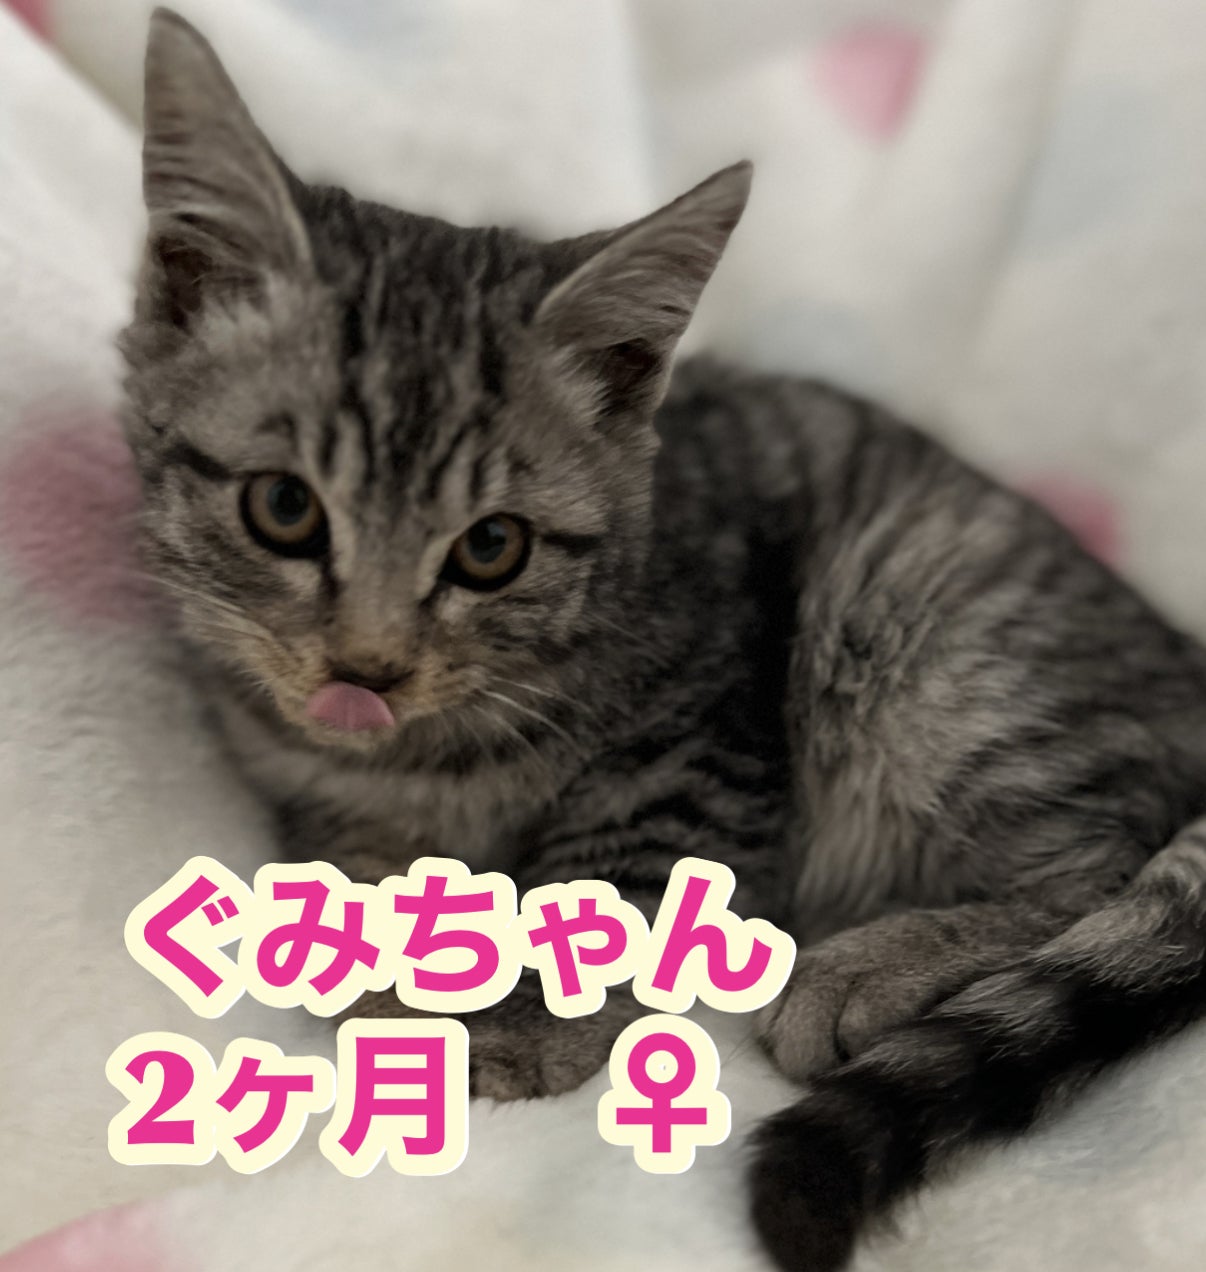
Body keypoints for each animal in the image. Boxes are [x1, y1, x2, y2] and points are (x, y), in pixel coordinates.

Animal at [120, 10, 1206, 1271]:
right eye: (285, 509)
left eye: (492, 547)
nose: (368, 670)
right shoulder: (314, 787)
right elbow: (360, 875)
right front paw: (393, 970)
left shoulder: (706, 747)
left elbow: (606, 889)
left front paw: (517, 1028)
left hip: (928, 629)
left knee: (1105, 854)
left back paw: (870, 964)